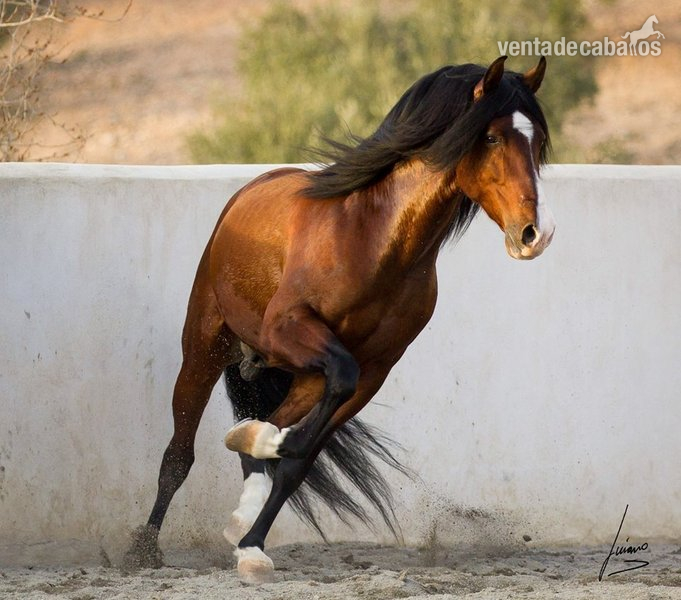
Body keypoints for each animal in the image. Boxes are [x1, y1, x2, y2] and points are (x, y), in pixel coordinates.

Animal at [124, 55, 555, 583]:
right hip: (206, 347)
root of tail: (248, 192)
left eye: (537, 140)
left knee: (263, 436)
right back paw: (144, 549)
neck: (373, 240)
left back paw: (246, 487)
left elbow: (297, 461)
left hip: (305, 375)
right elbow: (295, 432)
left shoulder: (373, 371)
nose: (535, 233)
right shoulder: (288, 329)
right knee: (178, 454)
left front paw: (252, 547)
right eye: (492, 137)